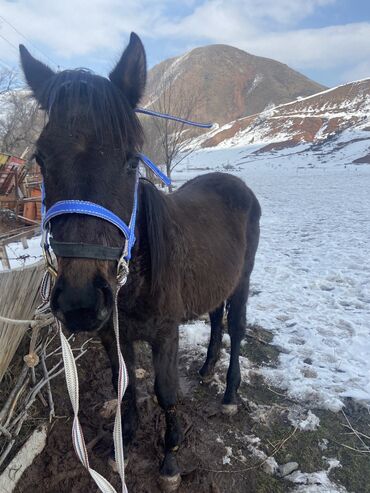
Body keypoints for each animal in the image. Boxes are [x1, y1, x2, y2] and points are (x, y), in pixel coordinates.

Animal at [19, 33, 260, 488]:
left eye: (132, 159)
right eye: (41, 158)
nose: (80, 302)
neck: (136, 278)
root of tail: (234, 184)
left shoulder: (165, 334)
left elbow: (165, 393)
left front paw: (170, 459)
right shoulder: (112, 334)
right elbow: (123, 384)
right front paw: (123, 442)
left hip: (242, 281)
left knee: (236, 329)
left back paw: (230, 394)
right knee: (215, 319)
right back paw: (206, 368)